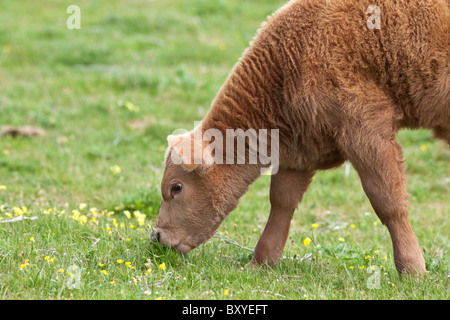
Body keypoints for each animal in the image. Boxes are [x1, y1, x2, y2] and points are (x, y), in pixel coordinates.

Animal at [152, 0, 450, 276]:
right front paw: (260, 262)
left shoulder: (366, 131)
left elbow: (388, 201)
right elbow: (281, 201)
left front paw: (412, 269)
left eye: (175, 187)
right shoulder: (300, 149)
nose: (157, 235)